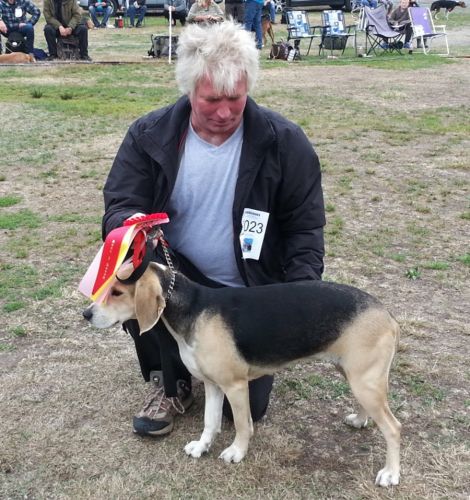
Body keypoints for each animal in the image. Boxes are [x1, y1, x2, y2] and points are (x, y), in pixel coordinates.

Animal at [82, 260, 402, 486]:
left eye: (117, 292)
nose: (86, 314)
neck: (192, 309)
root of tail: (388, 315)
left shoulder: (235, 386)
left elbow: (241, 425)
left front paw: (237, 452)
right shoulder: (213, 385)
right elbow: (210, 422)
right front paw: (202, 447)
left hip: (364, 382)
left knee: (393, 427)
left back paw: (390, 473)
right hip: (355, 376)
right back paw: (359, 420)